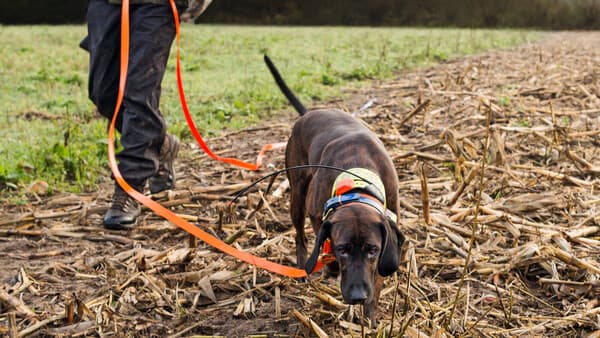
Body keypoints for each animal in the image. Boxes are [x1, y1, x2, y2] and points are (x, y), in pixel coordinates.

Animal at [264, 56, 406, 324]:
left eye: (373, 250)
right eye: (343, 250)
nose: (358, 296)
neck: (358, 181)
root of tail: (310, 113)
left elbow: (378, 278)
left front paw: (370, 316)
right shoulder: (317, 213)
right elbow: (323, 240)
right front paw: (330, 267)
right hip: (297, 194)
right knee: (299, 235)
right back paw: (303, 267)